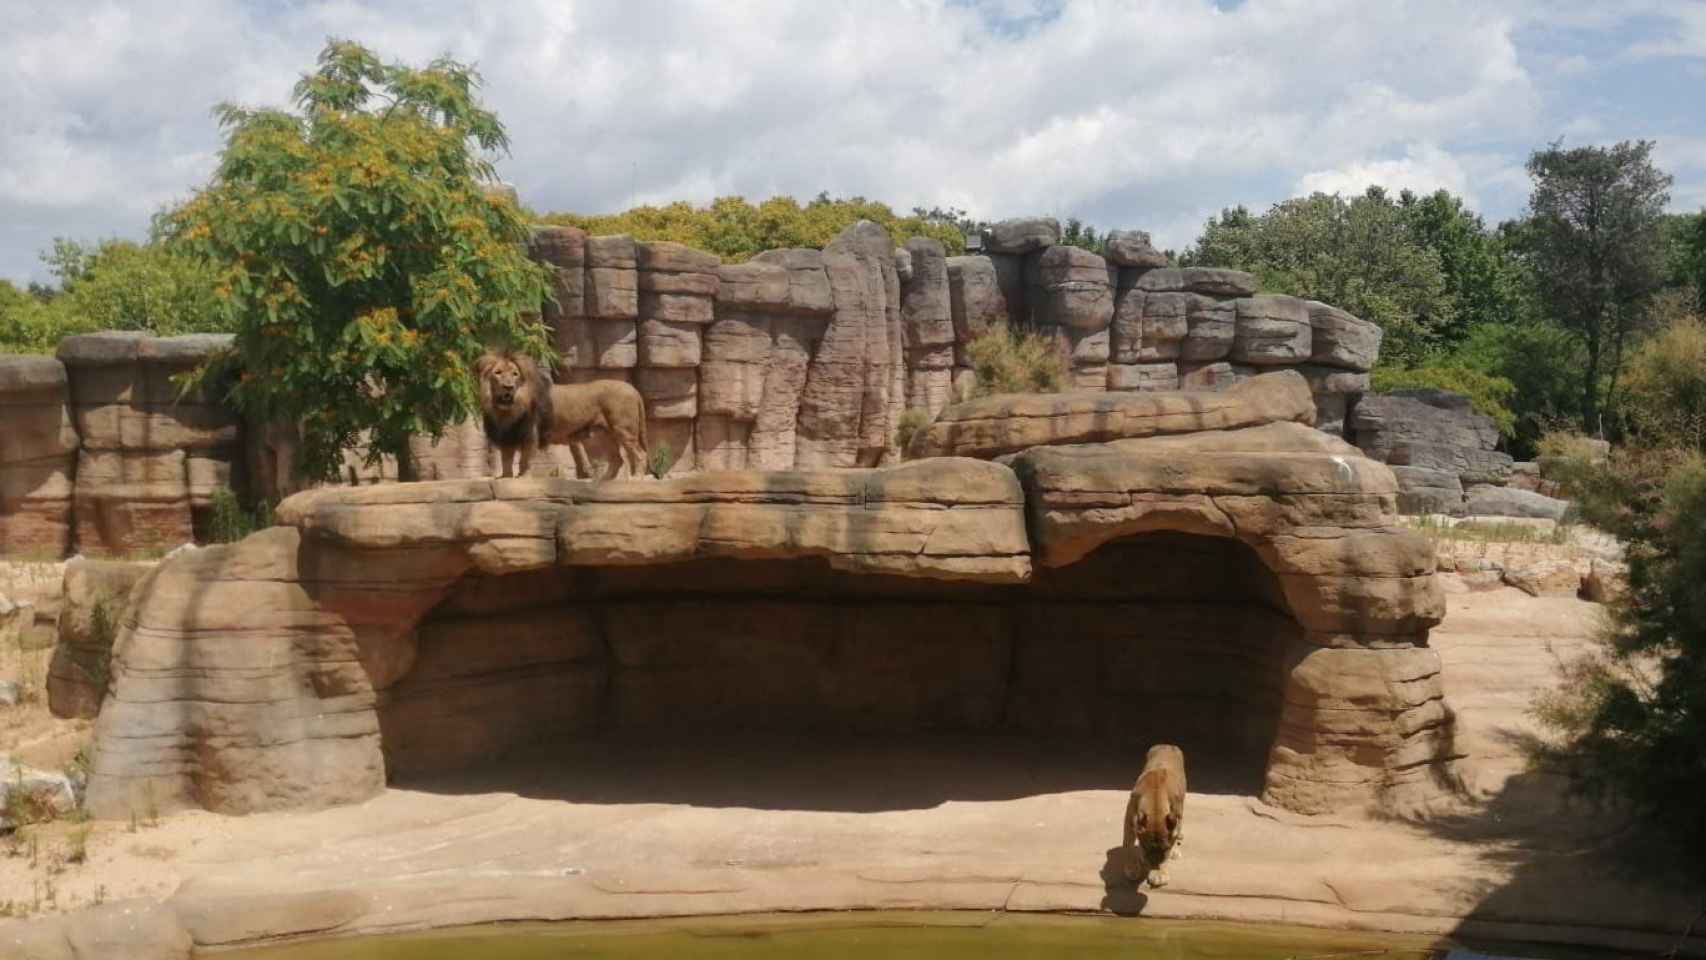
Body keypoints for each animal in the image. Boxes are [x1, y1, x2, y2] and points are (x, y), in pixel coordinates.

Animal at [477, 349, 648, 480]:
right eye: (498, 373)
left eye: (515, 374)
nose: (508, 387)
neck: (505, 409)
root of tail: (633, 389)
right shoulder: (507, 435)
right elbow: (506, 459)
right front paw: (505, 478)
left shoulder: (529, 434)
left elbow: (524, 459)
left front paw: (523, 477)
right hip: (605, 435)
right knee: (617, 459)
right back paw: (604, 481)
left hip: (623, 430)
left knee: (640, 454)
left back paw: (636, 478)